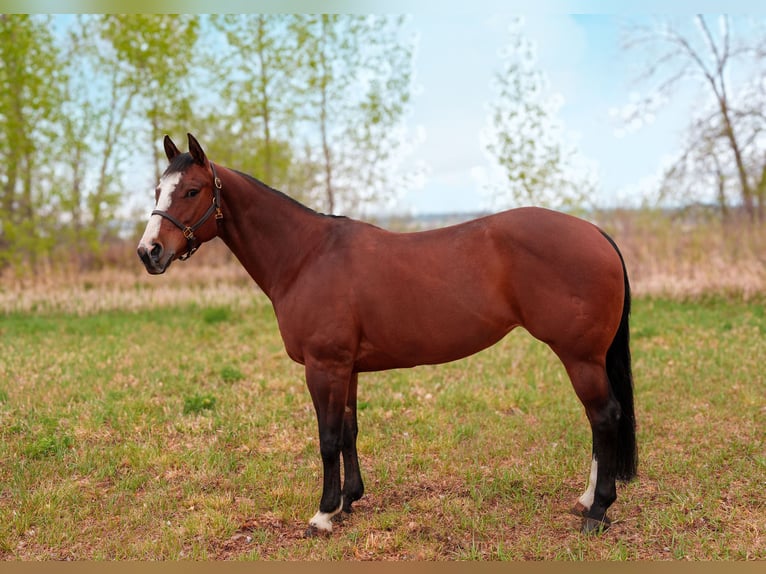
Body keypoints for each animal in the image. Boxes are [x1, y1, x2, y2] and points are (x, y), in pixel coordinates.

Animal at [137, 133, 637, 536]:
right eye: (158, 190)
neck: (305, 256)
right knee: (598, 420)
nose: (149, 252)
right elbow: (349, 431)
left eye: (192, 190)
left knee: (603, 416)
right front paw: (347, 502)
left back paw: (597, 511)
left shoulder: (324, 367)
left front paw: (322, 515)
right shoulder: (347, 368)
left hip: (580, 356)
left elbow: (327, 438)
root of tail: (594, 232)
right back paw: (585, 502)